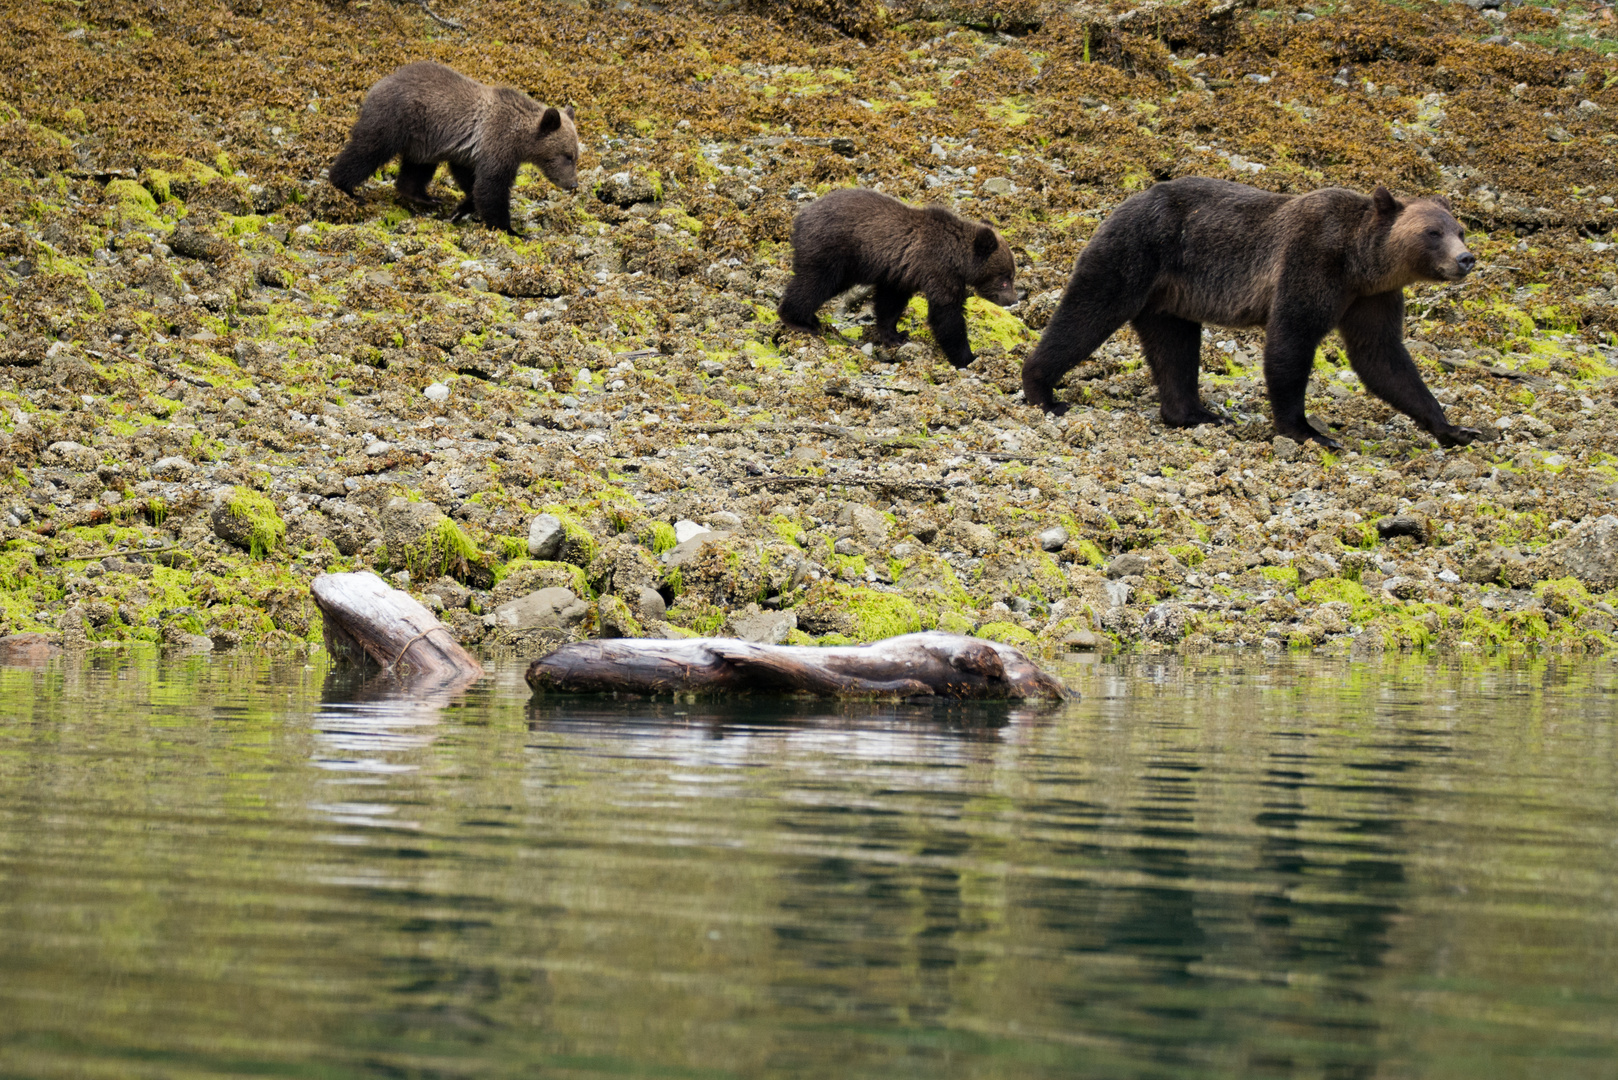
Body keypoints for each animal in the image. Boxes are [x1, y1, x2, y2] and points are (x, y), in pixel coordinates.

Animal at [330, 61, 582, 234]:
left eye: (575, 156)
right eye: (567, 156)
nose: (573, 184)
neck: (521, 138)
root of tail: (377, 84)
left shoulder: (468, 152)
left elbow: (472, 182)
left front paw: (460, 209)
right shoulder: (497, 145)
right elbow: (491, 187)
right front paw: (510, 230)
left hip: (423, 141)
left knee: (417, 168)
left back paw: (426, 197)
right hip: (396, 120)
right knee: (367, 151)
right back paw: (346, 187)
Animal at [776, 187, 1016, 369]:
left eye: (1012, 275)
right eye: (1005, 278)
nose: (1013, 299)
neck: (958, 257)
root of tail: (800, 217)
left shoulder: (901, 272)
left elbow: (890, 303)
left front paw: (895, 335)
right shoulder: (938, 269)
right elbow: (947, 314)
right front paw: (968, 357)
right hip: (833, 251)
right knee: (814, 283)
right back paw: (800, 321)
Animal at [1022, 177, 1482, 446]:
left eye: (1459, 229)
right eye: (1433, 232)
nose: (1466, 258)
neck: (1359, 263)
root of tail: (1124, 201)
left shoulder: (1372, 297)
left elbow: (1382, 357)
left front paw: (1456, 428)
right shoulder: (1311, 260)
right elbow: (1291, 339)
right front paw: (1307, 430)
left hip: (1170, 297)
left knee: (1175, 347)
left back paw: (1195, 414)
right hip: (1136, 251)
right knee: (1088, 312)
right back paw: (1043, 391)